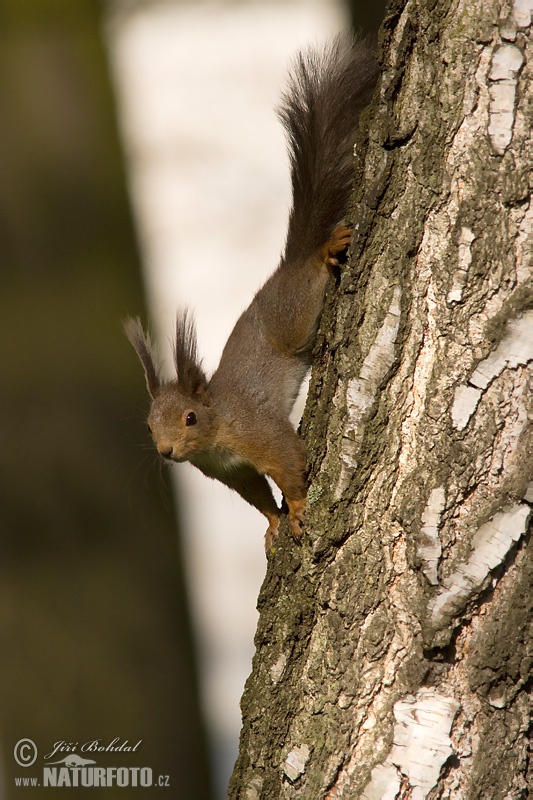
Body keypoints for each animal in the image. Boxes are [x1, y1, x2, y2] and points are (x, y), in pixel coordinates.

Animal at [125, 36, 376, 552]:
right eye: (148, 425)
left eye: (190, 418)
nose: (166, 451)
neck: (219, 430)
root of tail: (288, 263)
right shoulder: (232, 473)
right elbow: (257, 495)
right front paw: (272, 523)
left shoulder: (260, 434)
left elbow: (289, 463)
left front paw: (297, 509)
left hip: (292, 315)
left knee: (309, 281)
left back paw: (323, 252)